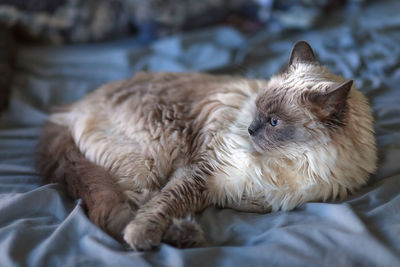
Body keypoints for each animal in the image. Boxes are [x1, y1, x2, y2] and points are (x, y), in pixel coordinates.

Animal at [36, 41, 376, 251]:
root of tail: (69, 108)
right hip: (153, 156)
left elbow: (243, 203)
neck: (288, 164)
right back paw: (176, 236)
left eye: (274, 122)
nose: (251, 129)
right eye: (258, 111)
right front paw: (143, 233)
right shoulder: (200, 174)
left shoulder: (254, 198)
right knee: (124, 209)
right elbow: (161, 206)